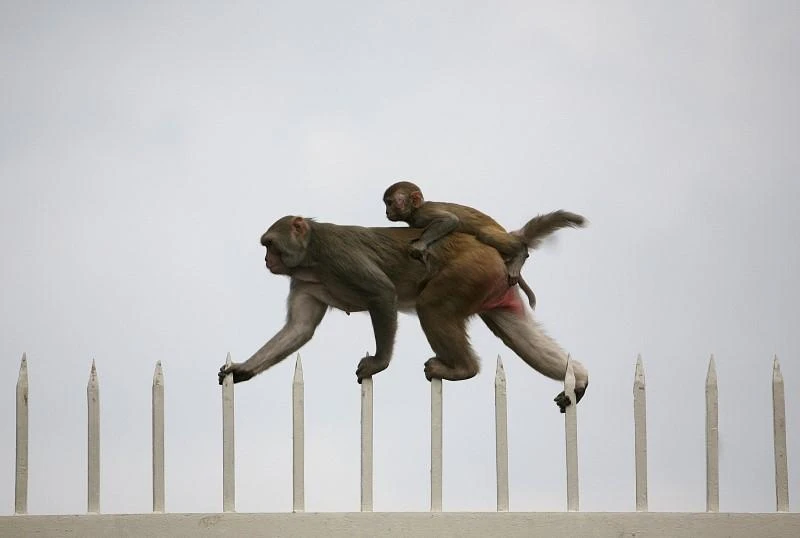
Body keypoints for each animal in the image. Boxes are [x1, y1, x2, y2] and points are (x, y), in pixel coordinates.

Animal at [219, 211, 588, 412]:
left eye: (270, 245)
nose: (267, 260)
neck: (311, 256)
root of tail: (494, 248)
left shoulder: (338, 256)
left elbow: (383, 293)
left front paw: (378, 364)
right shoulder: (303, 281)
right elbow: (299, 329)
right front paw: (243, 370)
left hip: (470, 270)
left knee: (432, 307)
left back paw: (462, 369)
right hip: (493, 284)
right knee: (514, 331)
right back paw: (580, 379)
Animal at [383, 181, 561, 310]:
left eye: (390, 203)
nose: (386, 212)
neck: (415, 210)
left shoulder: (422, 215)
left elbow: (450, 220)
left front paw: (420, 245)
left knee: (485, 234)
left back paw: (521, 253)